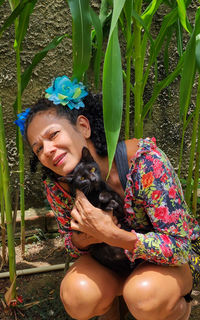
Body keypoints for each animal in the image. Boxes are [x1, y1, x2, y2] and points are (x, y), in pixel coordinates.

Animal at [58, 147, 134, 276]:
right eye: (82, 178)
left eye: (92, 169)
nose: (93, 179)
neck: (95, 192)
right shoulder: (77, 223)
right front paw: (105, 202)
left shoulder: (121, 211)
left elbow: (114, 197)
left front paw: (105, 197)